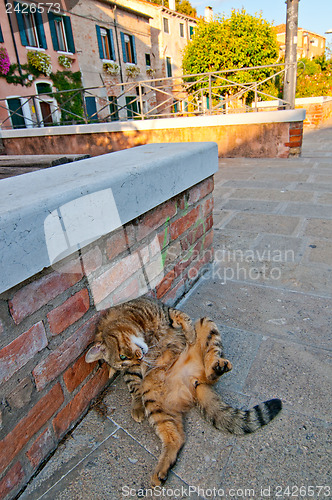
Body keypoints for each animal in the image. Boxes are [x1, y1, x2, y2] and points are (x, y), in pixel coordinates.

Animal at [85, 298, 280, 486]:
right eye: (124, 360)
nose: (140, 358)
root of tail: (193, 381)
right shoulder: (132, 372)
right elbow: (133, 385)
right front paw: (136, 404)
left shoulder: (163, 310)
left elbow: (180, 317)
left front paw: (189, 334)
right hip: (154, 404)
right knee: (175, 437)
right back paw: (161, 471)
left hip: (206, 323)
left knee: (212, 358)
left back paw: (214, 366)